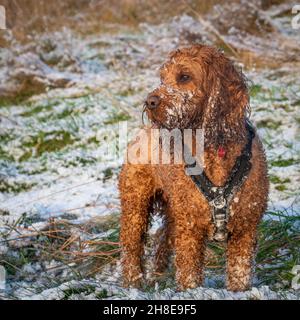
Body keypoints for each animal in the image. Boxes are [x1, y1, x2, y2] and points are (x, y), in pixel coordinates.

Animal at [118, 43, 268, 292]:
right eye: (163, 77)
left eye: (184, 76)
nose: (150, 102)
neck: (215, 149)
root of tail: (142, 132)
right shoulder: (190, 232)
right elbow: (188, 275)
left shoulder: (245, 229)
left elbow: (239, 274)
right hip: (135, 205)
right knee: (130, 246)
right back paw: (132, 283)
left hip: (173, 212)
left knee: (163, 239)